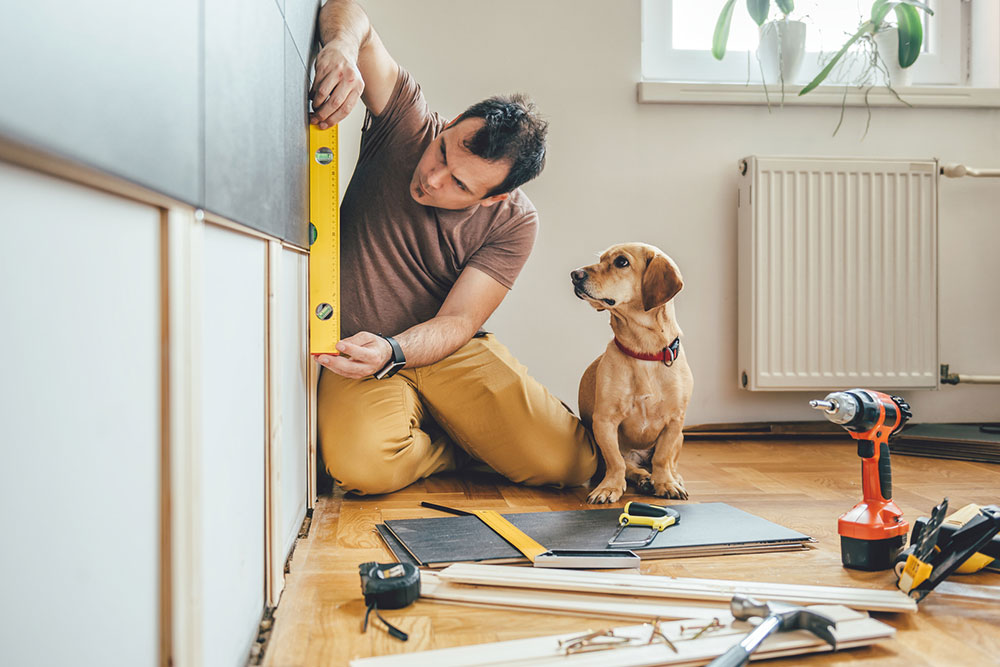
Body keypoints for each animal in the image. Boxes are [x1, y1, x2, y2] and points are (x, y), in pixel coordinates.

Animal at [576, 243, 692, 504]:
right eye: (601, 259)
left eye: (621, 262)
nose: (574, 275)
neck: (644, 352)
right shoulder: (605, 421)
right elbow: (616, 462)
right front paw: (609, 487)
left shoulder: (674, 422)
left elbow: (662, 458)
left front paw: (666, 483)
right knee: (631, 467)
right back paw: (644, 478)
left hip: (681, 437)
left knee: (668, 463)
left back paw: (670, 478)